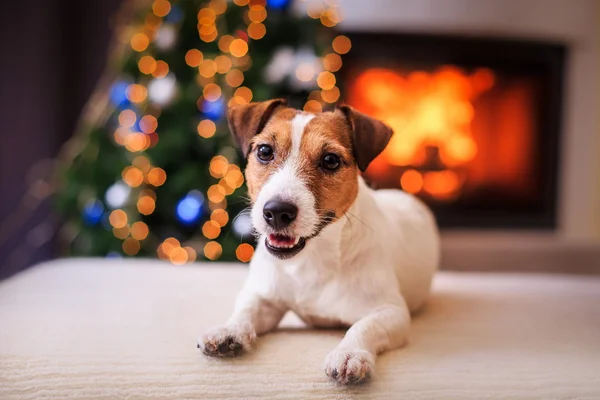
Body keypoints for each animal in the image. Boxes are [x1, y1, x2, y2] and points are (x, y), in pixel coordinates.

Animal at [199, 99, 438, 384]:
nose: (277, 212)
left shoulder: (391, 312)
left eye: (330, 160)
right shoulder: (264, 298)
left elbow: (364, 326)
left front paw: (350, 354)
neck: (311, 259)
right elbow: (246, 309)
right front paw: (229, 330)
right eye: (265, 151)